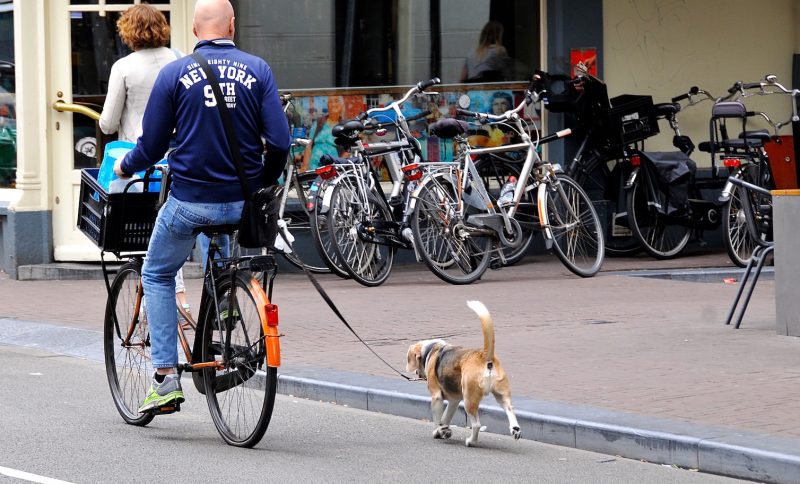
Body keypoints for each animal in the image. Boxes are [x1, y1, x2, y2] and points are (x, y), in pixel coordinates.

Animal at [406, 300, 520, 448]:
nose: (416, 372)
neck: (432, 349)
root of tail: (484, 355)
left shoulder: (437, 397)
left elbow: (437, 419)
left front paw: (438, 431)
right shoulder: (454, 401)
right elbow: (445, 417)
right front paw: (444, 430)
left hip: (469, 399)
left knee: (476, 425)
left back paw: (471, 441)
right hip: (501, 394)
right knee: (510, 409)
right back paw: (515, 429)